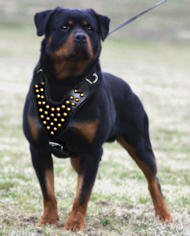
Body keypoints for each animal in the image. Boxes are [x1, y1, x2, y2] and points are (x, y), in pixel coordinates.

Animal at [22, 6, 172, 230]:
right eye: (64, 27)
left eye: (90, 28)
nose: (81, 37)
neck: (65, 82)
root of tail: (128, 88)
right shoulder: (38, 148)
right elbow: (48, 191)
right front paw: (48, 220)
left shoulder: (92, 152)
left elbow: (82, 193)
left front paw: (74, 225)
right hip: (78, 156)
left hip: (139, 142)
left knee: (153, 179)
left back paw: (164, 215)